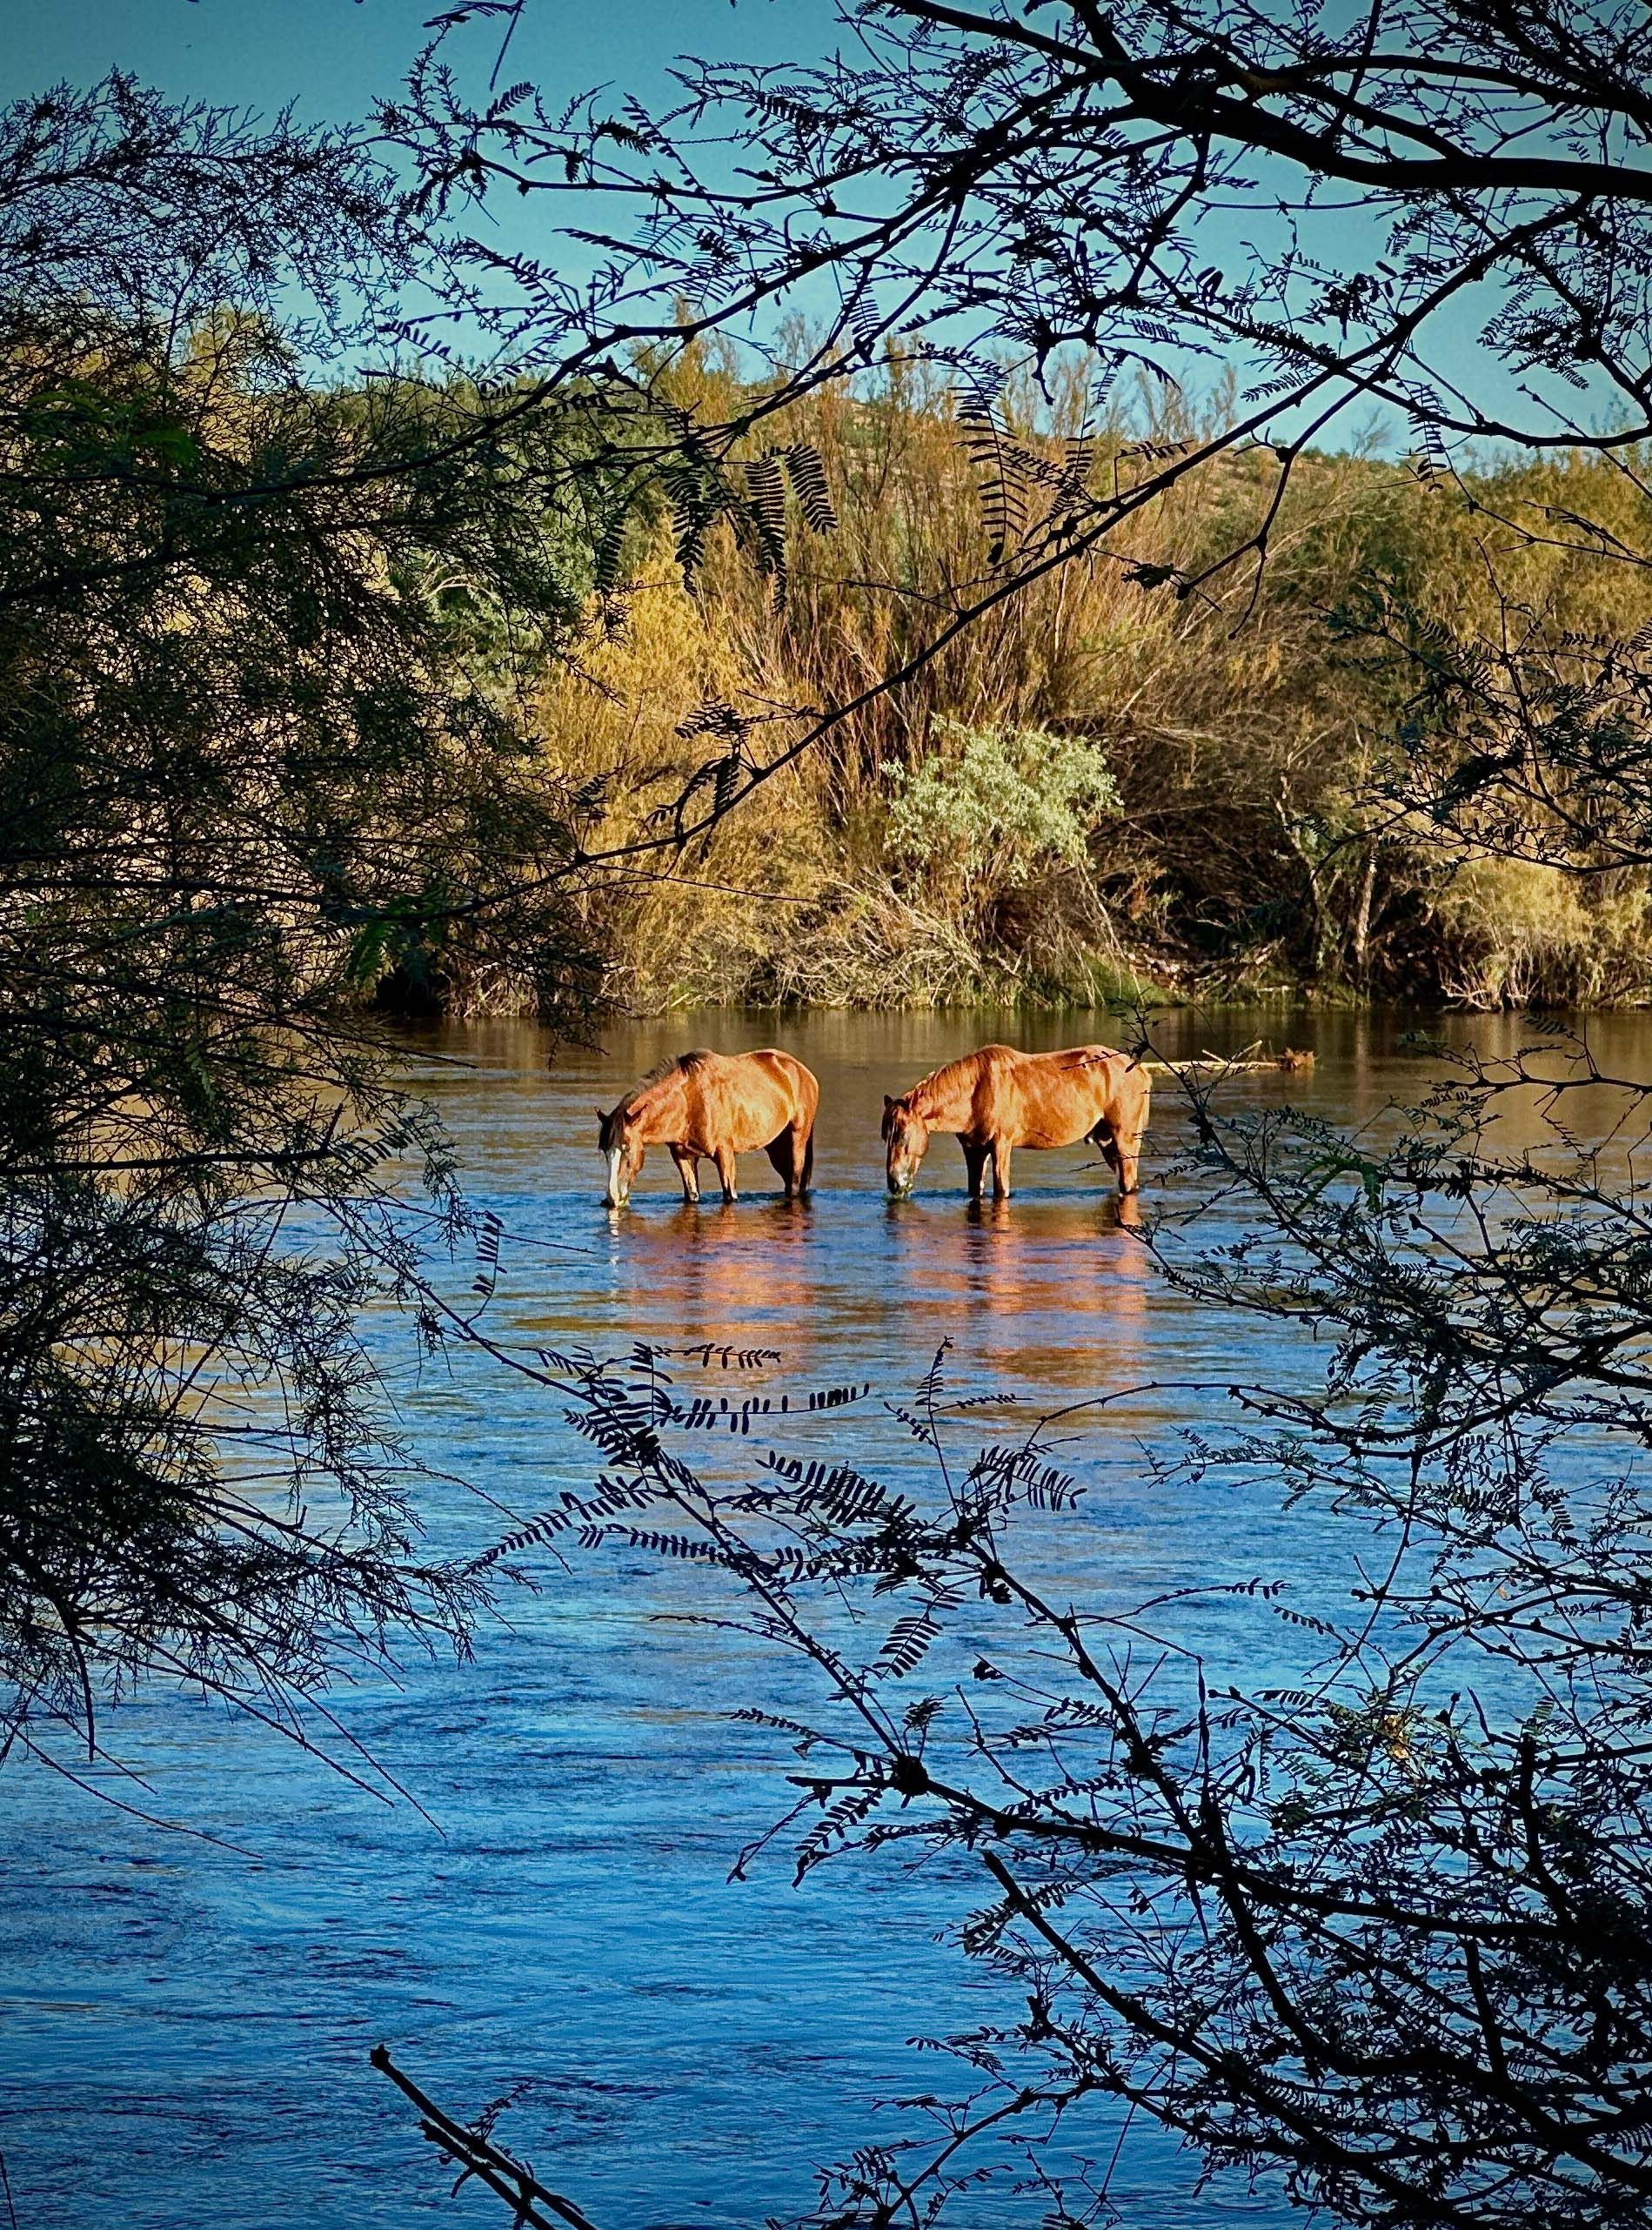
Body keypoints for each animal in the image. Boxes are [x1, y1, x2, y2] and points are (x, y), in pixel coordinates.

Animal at [596, 1049, 819, 1208]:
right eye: (605, 1152)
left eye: (627, 1147)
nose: (611, 1199)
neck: (687, 1101)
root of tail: (801, 1071)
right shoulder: (683, 1157)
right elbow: (692, 1196)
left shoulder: (724, 1154)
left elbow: (729, 1196)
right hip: (776, 1146)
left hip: (797, 1138)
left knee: (794, 1183)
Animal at [882, 1042, 1150, 1201]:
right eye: (886, 1136)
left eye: (902, 1135)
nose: (894, 1183)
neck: (975, 1091)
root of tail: (1139, 1070)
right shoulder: (974, 1150)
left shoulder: (1001, 1145)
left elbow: (1002, 1190)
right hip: (1107, 1142)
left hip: (1124, 1139)